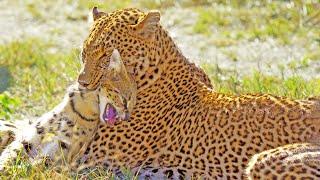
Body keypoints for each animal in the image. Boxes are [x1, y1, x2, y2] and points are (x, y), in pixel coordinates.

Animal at [0, 49, 136, 172]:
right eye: (124, 100)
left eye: (131, 104)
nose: (126, 117)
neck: (83, 106)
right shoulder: (32, 136)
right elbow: (11, 155)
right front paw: (5, 168)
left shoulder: (63, 151)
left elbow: (36, 165)